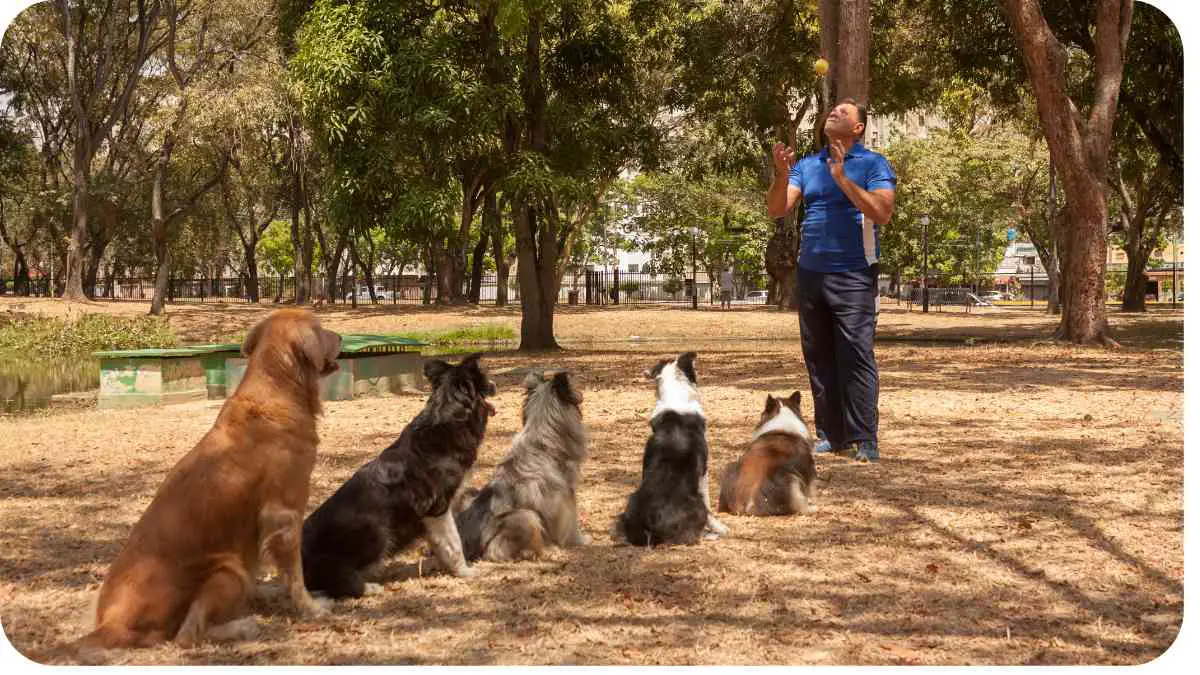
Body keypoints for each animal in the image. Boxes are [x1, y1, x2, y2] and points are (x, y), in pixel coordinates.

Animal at [69, 307, 343, 658]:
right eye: (321, 328)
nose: (342, 337)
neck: (277, 388)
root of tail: (110, 624)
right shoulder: (284, 513)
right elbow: (295, 573)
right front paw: (311, 608)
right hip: (226, 569)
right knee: (186, 636)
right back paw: (244, 625)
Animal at [302, 353, 494, 593]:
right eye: (485, 379)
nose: (494, 384)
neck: (448, 418)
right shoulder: (438, 509)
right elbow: (453, 543)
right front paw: (465, 572)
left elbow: (440, 545)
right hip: (378, 530)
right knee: (334, 578)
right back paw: (368, 587)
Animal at [453, 367, 590, 557]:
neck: (542, 440)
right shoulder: (565, 497)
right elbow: (570, 523)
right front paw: (580, 541)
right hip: (526, 517)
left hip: (469, 493)